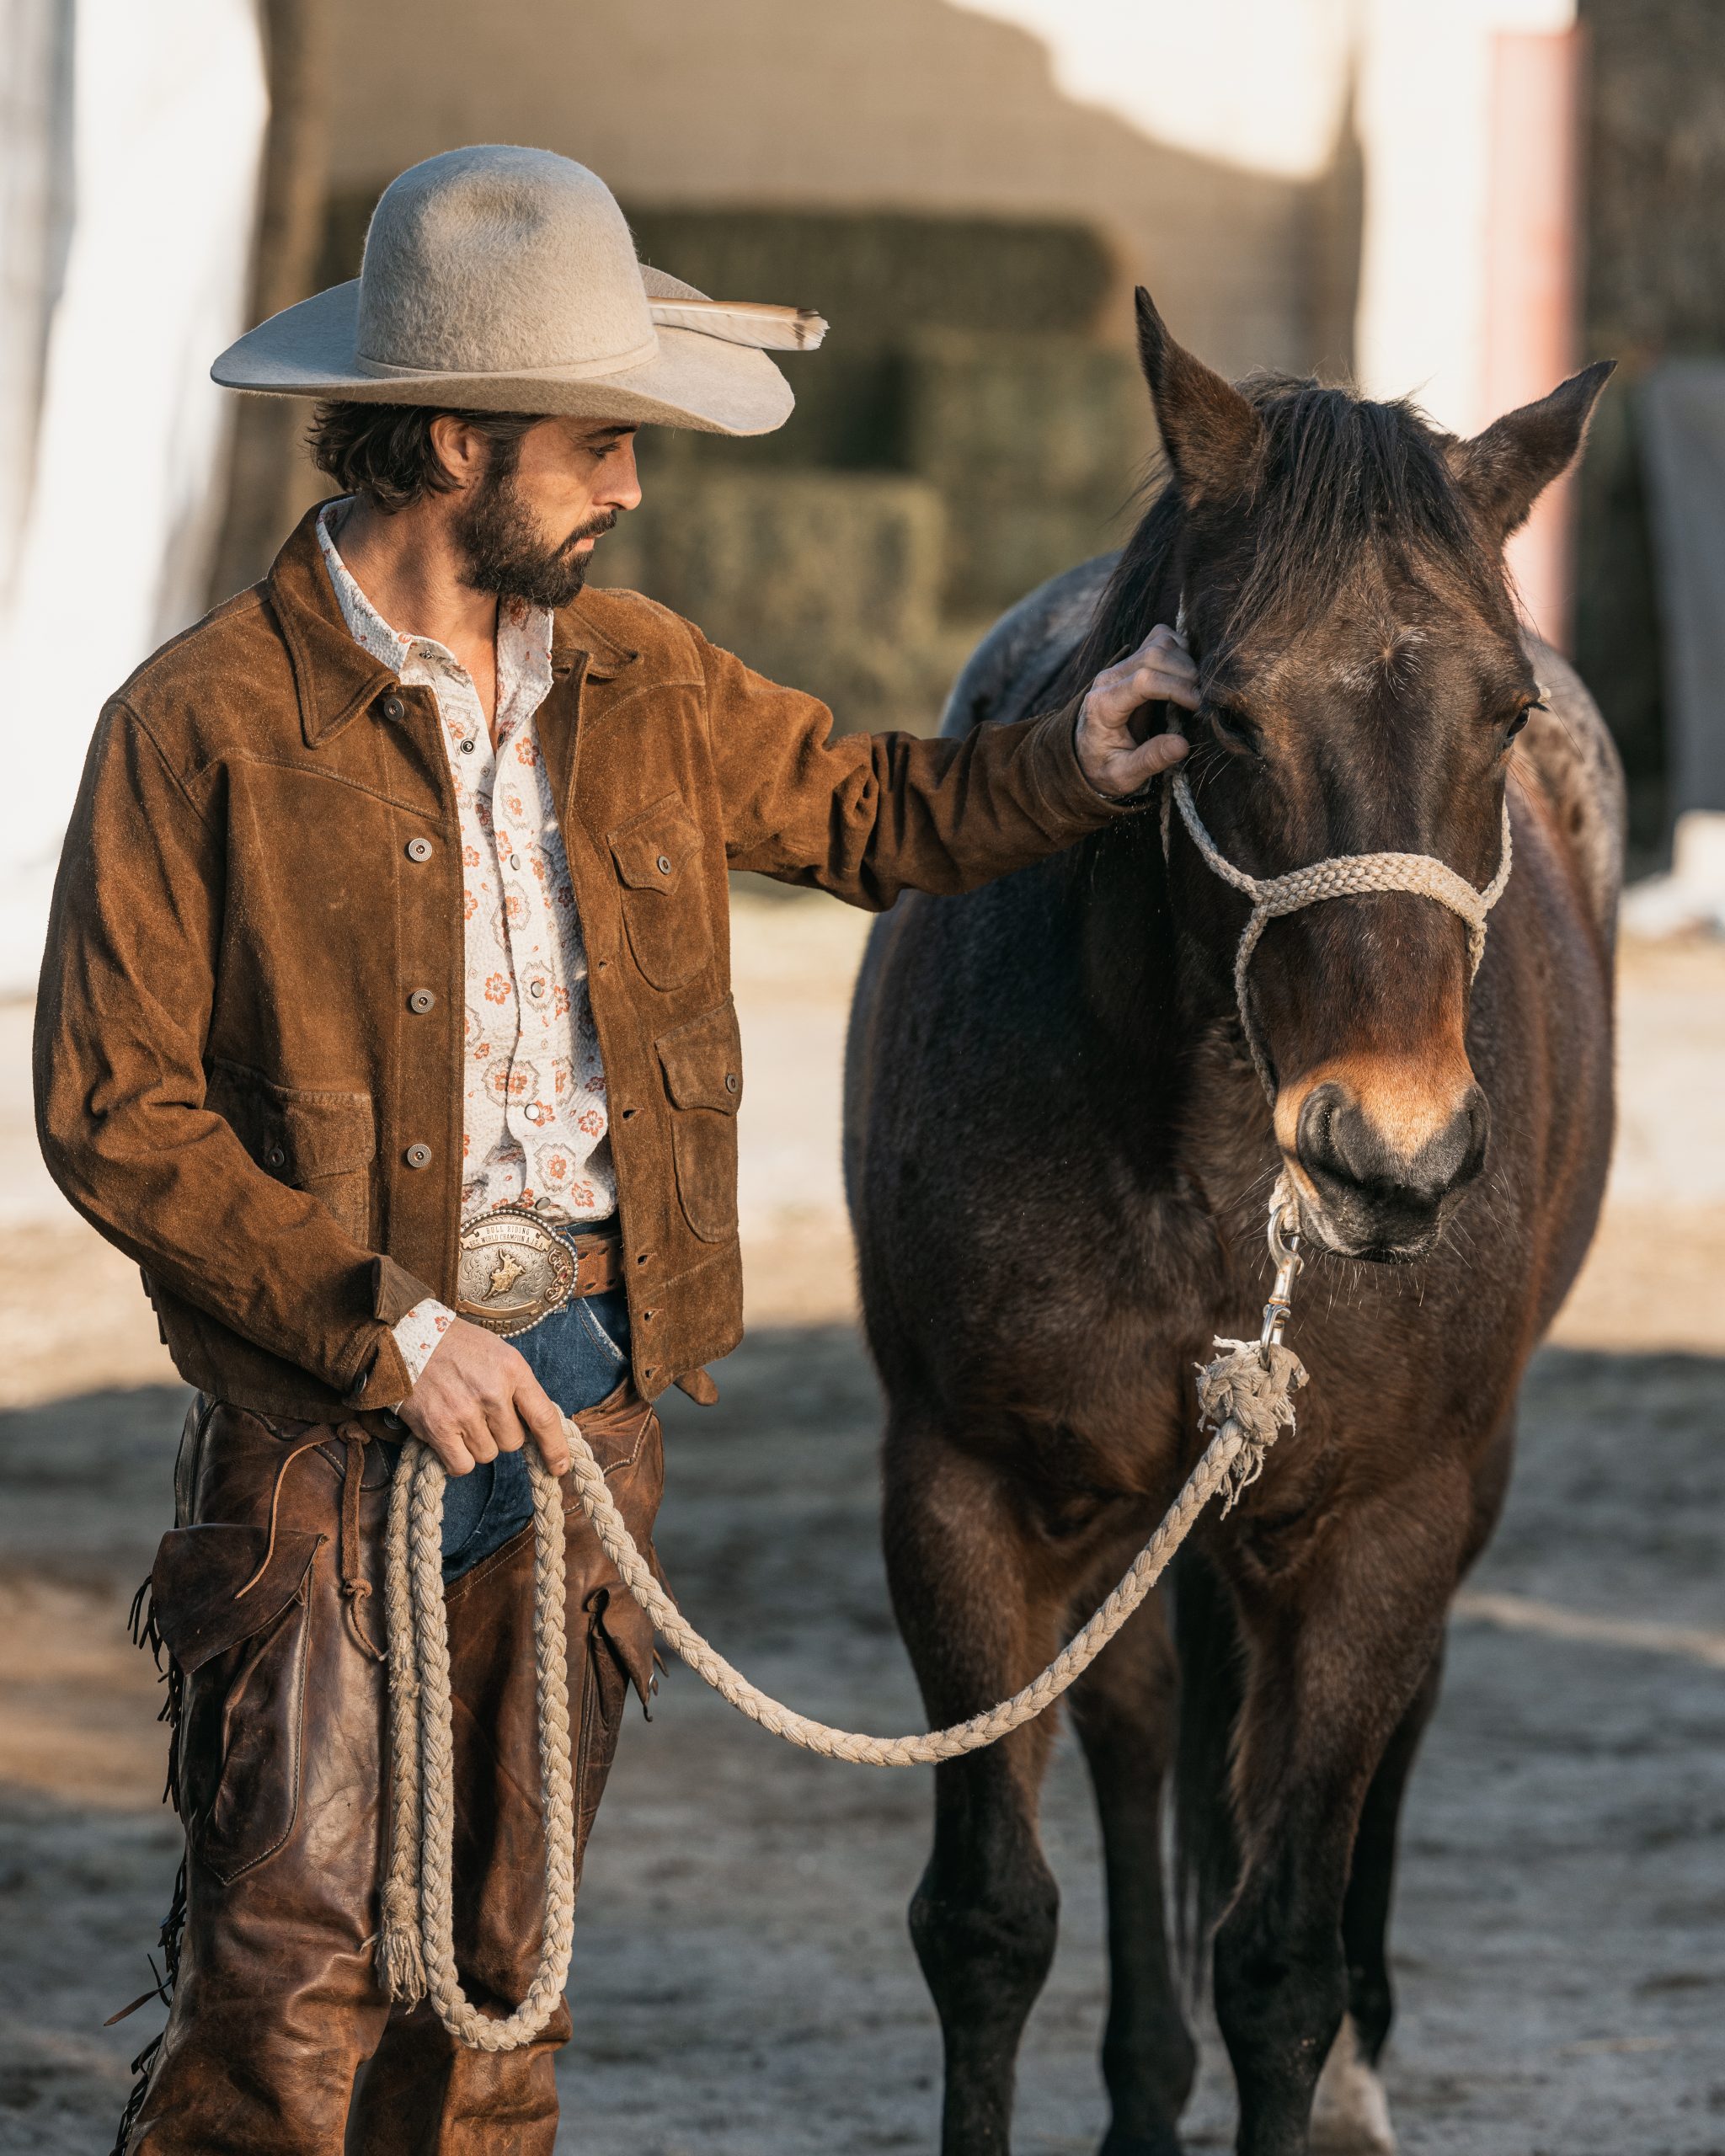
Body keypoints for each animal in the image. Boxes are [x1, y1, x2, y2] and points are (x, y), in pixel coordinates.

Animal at [841, 299, 1621, 2156]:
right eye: (1219, 718)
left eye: (1501, 714)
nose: (1387, 1156)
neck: (1201, 1160)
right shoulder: (965, 1489)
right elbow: (987, 1921)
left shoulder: (1382, 1521)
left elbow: (1278, 1955)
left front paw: (1314, 2051)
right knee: (1137, 1738)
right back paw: (1143, 2092)